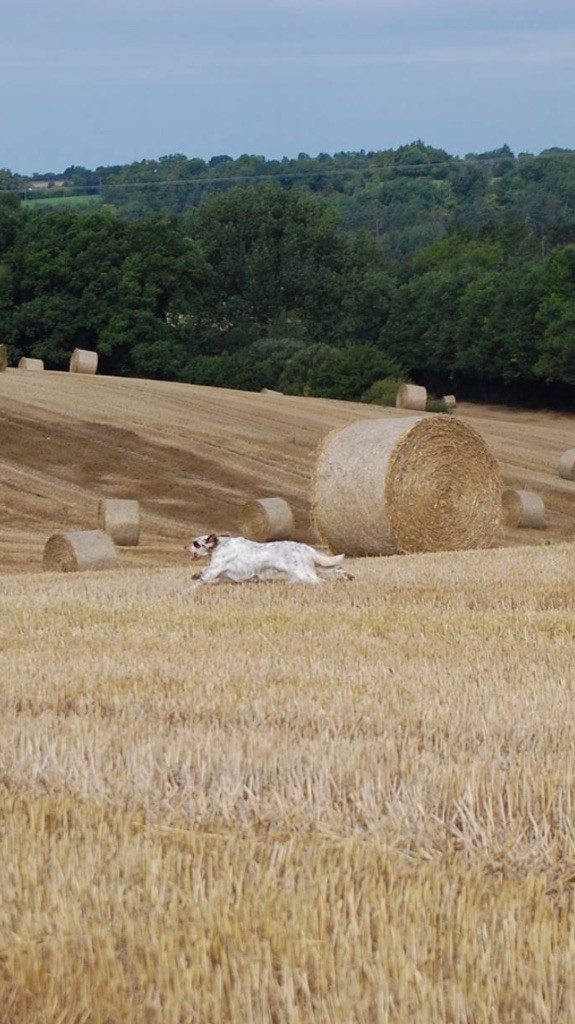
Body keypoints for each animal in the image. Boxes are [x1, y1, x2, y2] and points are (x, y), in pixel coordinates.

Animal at [186, 532, 351, 589]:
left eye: (195, 543)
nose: (185, 547)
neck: (221, 545)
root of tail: (304, 547)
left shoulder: (215, 569)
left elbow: (201, 579)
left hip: (302, 572)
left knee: (319, 581)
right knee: (334, 570)